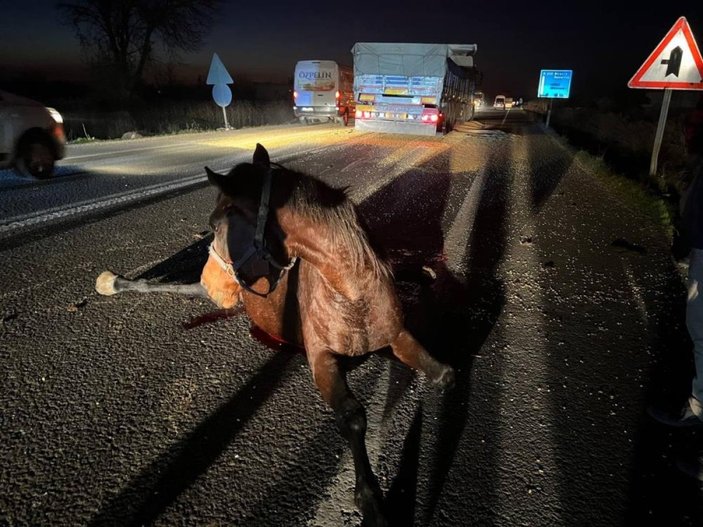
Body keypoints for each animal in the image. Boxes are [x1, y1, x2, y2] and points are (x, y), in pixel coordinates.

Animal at [95, 144, 456, 527]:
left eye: (215, 224)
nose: (211, 279)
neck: (352, 295)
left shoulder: (397, 336)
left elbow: (444, 374)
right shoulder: (321, 359)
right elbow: (352, 415)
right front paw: (369, 499)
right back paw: (112, 283)